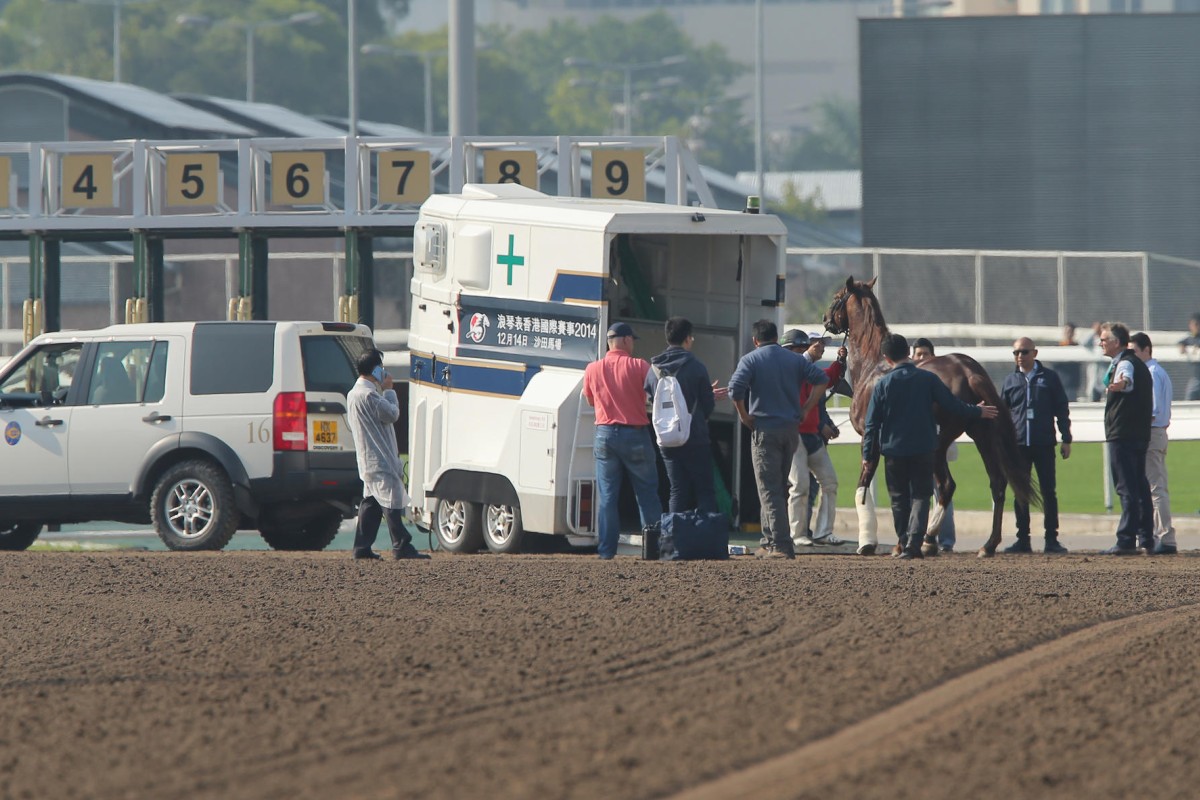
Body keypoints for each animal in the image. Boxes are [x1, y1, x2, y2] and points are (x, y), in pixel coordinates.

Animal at [820, 277, 1036, 556]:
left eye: (837, 296)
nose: (825, 318)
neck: (874, 365)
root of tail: (967, 370)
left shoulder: (871, 439)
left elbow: (866, 485)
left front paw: (868, 543)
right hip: (982, 436)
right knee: (996, 483)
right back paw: (985, 544)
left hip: (938, 447)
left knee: (947, 486)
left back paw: (927, 538)